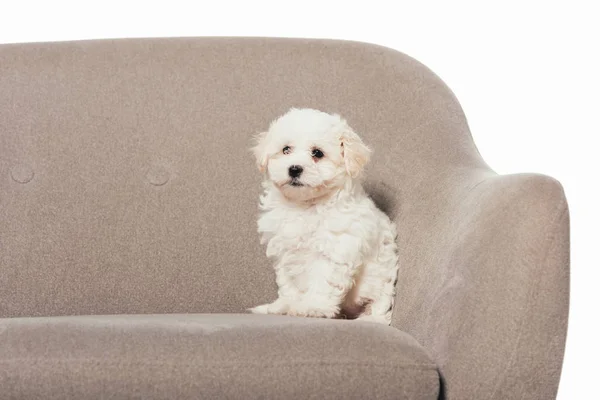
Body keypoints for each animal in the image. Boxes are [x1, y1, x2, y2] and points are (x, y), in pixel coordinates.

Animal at [248, 107, 398, 324]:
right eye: (286, 150)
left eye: (317, 153)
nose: (294, 169)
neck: (305, 205)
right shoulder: (285, 252)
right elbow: (289, 284)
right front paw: (286, 305)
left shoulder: (334, 249)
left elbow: (323, 281)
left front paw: (313, 307)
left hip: (382, 285)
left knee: (379, 307)